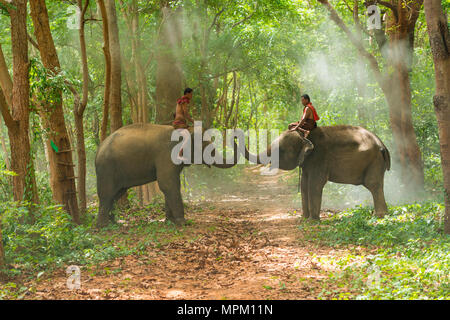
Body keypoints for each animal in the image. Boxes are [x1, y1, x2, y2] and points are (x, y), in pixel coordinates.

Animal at [93, 122, 237, 228]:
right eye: (206, 145)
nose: (234, 137)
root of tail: (98, 149)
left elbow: (170, 185)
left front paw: (170, 221)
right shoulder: (166, 155)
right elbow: (168, 183)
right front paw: (183, 223)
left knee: (116, 194)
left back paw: (114, 222)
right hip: (107, 168)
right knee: (107, 194)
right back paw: (103, 226)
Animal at [244, 125, 392, 220]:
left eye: (280, 150)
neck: (305, 136)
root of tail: (383, 146)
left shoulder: (319, 158)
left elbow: (314, 184)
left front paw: (312, 221)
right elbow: (304, 185)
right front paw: (304, 219)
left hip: (374, 161)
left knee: (373, 185)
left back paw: (379, 216)